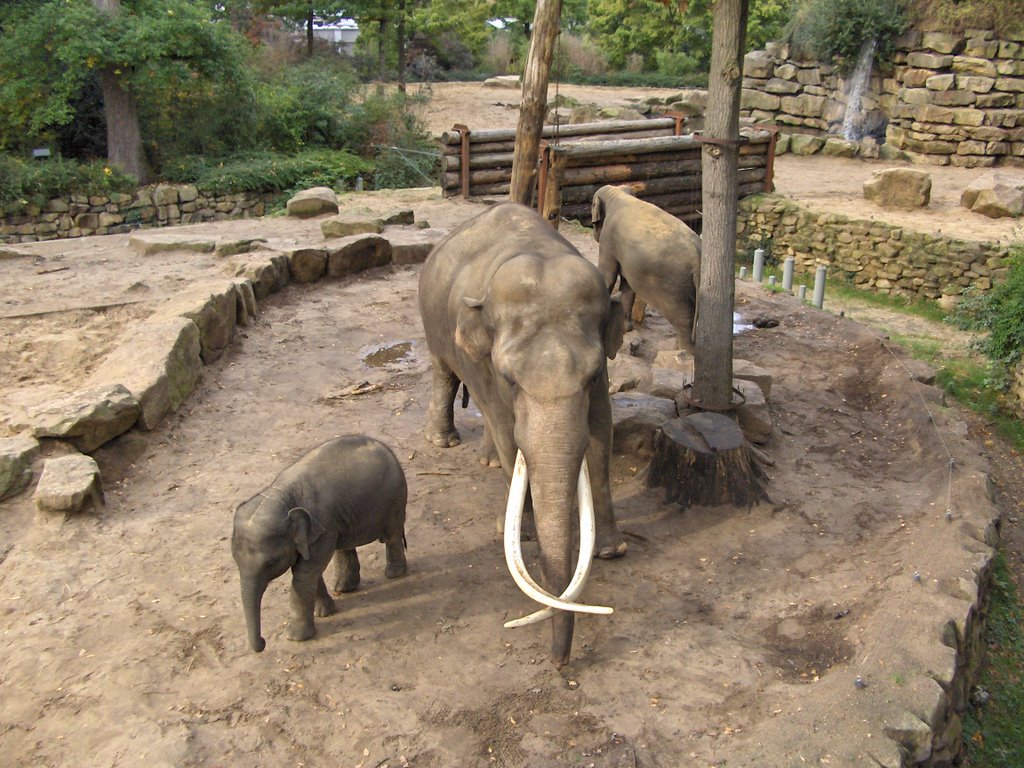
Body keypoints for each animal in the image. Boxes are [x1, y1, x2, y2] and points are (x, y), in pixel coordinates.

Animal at [232, 436, 407, 651]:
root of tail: (382, 444)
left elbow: (305, 574)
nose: (264, 642)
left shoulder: (323, 525)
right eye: (235, 561)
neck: (280, 494)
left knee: (391, 536)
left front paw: (295, 638)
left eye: (270, 563)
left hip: (395, 497)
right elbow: (309, 571)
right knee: (345, 545)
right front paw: (324, 613)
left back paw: (393, 573)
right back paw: (343, 588)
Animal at [419, 201, 626, 671]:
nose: (559, 664)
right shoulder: (482, 363)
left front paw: (611, 551)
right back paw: (445, 442)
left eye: (590, 377)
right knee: (443, 371)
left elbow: (601, 434)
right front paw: (521, 531)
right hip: (433, 330)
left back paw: (487, 459)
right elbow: (503, 425)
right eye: (511, 378)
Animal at [593, 185, 704, 354]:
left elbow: (608, 276)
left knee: (684, 322)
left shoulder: (608, 239)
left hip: (676, 288)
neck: (617, 194)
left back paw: (682, 353)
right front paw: (625, 330)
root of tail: (697, 258)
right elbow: (627, 286)